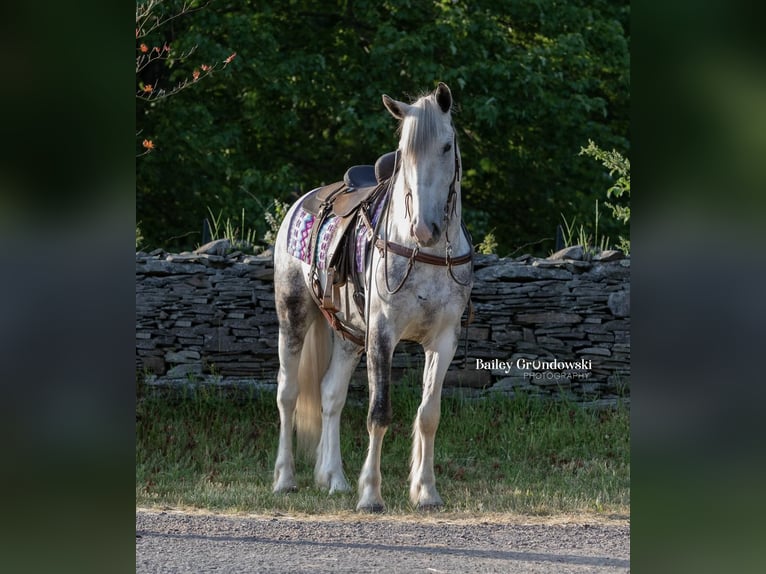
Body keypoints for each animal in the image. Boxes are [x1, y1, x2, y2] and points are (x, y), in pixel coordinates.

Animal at [270, 81, 474, 512]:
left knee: (330, 395)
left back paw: (335, 479)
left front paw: (427, 492)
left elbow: (429, 414)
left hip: (349, 335)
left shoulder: (444, 340)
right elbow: (378, 413)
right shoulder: (382, 335)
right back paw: (285, 479)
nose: (425, 228)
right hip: (293, 317)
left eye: (446, 145)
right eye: (403, 151)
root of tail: (304, 200)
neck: (422, 252)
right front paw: (371, 495)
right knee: (288, 394)